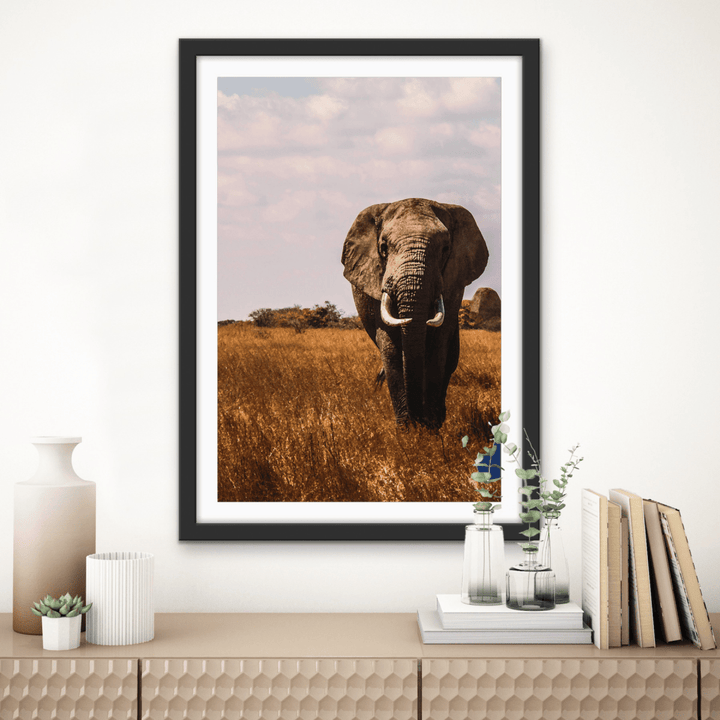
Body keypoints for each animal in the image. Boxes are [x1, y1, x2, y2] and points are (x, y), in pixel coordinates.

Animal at [341, 198, 489, 429]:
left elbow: (439, 346)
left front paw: (430, 428)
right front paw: (407, 430)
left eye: (446, 248)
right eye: (383, 247)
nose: (417, 421)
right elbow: (391, 348)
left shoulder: (453, 286)